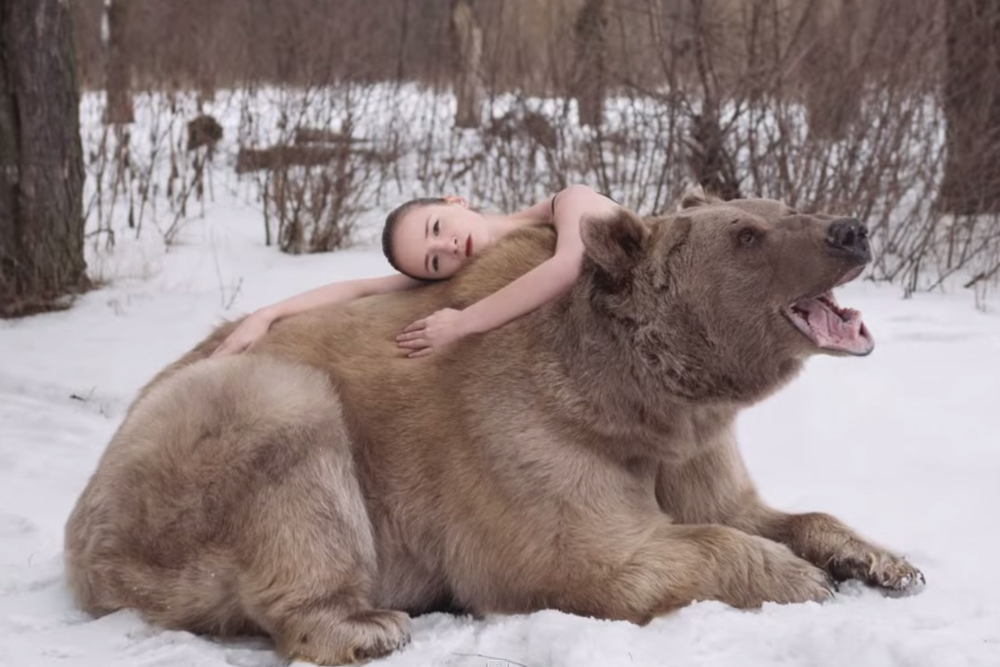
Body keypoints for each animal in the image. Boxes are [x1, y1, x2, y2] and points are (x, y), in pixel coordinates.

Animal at [60, 189, 920, 667]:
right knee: (290, 450)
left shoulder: (693, 444)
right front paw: (796, 577)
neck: (637, 394)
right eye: (746, 235)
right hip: (202, 451)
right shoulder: (523, 429)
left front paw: (880, 559)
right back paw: (365, 623)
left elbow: (746, 508)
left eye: (783, 206)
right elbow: (596, 555)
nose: (850, 230)